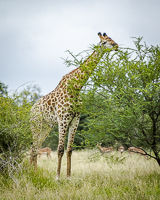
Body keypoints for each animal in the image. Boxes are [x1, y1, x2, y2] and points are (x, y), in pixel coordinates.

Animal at [29, 31, 118, 180]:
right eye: (105, 42)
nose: (116, 46)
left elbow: (70, 149)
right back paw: (30, 172)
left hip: (46, 126)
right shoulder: (63, 119)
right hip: (36, 124)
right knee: (34, 147)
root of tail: (31, 110)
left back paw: (32, 172)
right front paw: (57, 177)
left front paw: (69, 177)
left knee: (35, 147)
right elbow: (60, 149)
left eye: (112, 39)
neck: (76, 87)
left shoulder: (75, 120)